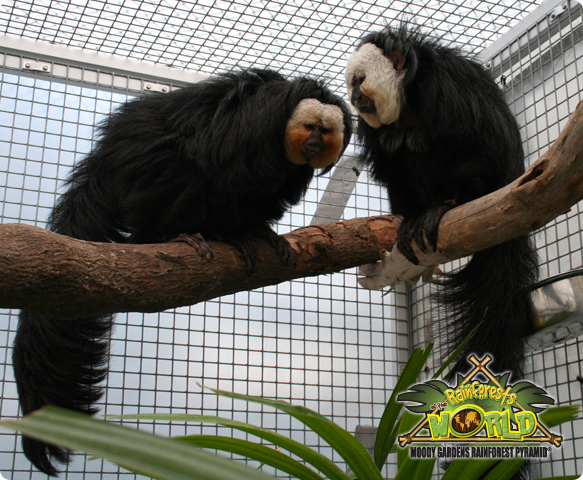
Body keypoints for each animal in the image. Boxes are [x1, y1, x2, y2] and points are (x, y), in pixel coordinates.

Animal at [12, 68, 352, 476]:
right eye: (310, 127)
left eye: (325, 131)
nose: (315, 143)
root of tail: (105, 157)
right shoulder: (256, 130)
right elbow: (229, 176)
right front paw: (231, 234)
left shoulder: (288, 172)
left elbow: (263, 194)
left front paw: (258, 232)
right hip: (140, 161)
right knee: (180, 168)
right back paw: (170, 234)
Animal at [344, 25, 540, 386]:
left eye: (359, 81)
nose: (353, 97)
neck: (408, 104)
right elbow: (393, 167)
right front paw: (407, 220)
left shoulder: (447, 89)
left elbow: (477, 146)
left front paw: (446, 205)